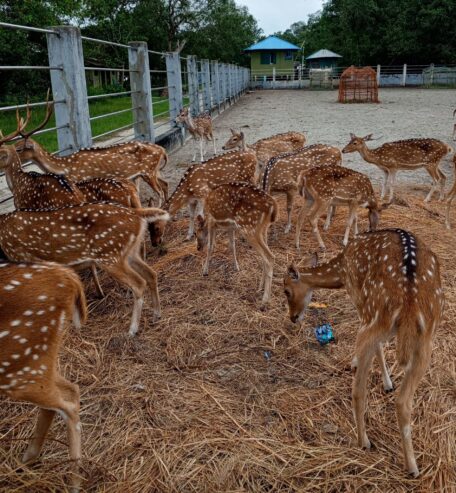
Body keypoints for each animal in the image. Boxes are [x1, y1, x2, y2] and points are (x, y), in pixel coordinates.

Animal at [0, 203, 169, 334]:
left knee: (139, 283)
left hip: (110, 256)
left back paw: (132, 329)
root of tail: (136, 214)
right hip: (129, 253)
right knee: (151, 274)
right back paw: (157, 314)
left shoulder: (26, 259)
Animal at [0, 260, 88, 490]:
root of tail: (68, 276)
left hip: (19, 366)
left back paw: (75, 482)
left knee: (68, 401)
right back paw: (25, 461)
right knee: (69, 390)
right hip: (34, 361)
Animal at [15, 98, 170, 204]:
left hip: (148, 171)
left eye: (18, 148)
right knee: (165, 184)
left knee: (160, 192)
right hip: (152, 171)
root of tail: (162, 150)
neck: (65, 167)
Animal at [284, 230, 444, 476]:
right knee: (403, 401)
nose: (293, 318)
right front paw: (388, 382)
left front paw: (364, 367)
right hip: (427, 338)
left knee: (359, 390)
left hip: (374, 314)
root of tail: (409, 301)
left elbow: (376, 349)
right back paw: (413, 467)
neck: (341, 270)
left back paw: (364, 441)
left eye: (286, 291)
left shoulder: (358, 298)